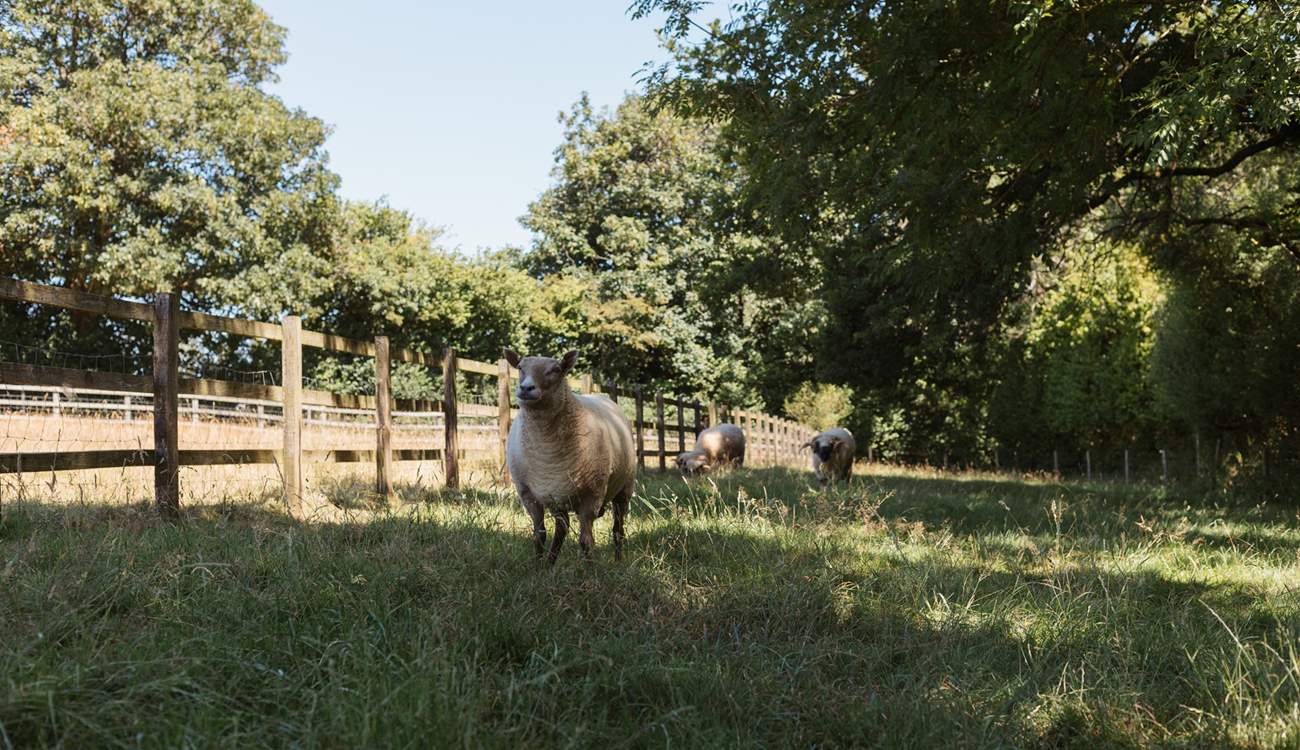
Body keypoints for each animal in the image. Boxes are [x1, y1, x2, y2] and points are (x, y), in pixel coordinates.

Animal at [504, 348, 636, 563]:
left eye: (556, 370)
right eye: (520, 367)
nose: (525, 388)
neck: (545, 449)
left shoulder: (592, 494)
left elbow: (586, 541)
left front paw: (591, 569)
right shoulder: (528, 494)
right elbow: (539, 534)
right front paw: (538, 566)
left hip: (624, 489)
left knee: (618, 529)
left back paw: (618, 560)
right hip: (558, 494)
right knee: (561, 528)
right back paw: (550, 563)